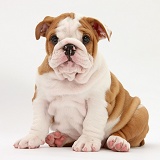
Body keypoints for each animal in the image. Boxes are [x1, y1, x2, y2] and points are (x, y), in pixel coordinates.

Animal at [13, 12, 149, 152]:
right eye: (54, 39)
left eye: (86, 39)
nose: (68, 46)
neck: (69, 78)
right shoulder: (41, 100)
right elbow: (38, 122)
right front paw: (31, 138)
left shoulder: (97, 102)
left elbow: (91, 122)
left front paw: (87, 141)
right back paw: (59, 138)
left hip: (140, 113)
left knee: (124, 132)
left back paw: (117, 141)